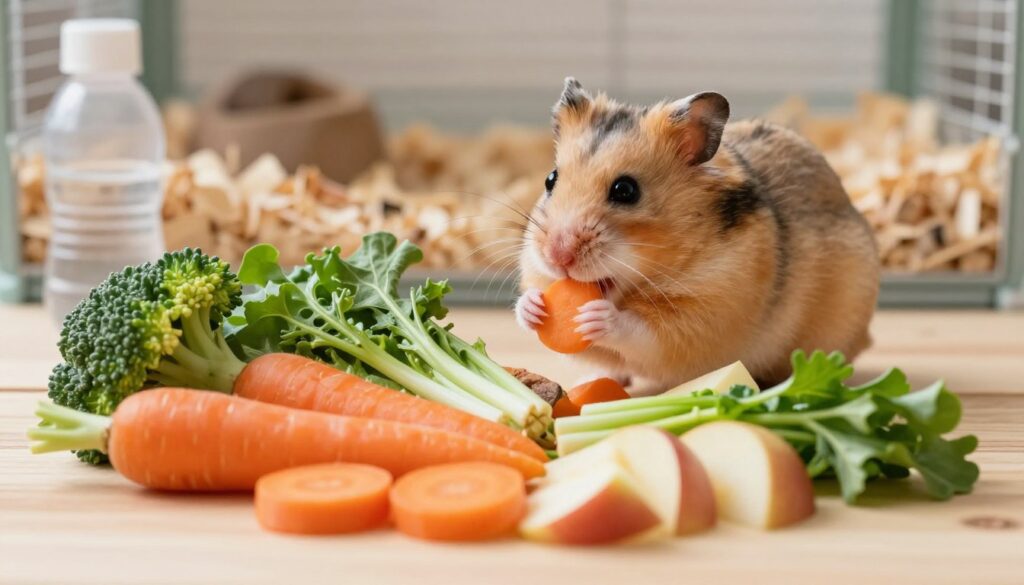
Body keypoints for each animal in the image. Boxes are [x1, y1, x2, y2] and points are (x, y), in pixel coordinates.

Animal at [516, 78, 879, 392]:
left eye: (625, 190)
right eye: (550, 179)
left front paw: (597, 316)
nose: (557, 256)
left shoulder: (706, 315)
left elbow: (643, 332)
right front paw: (532, 306)